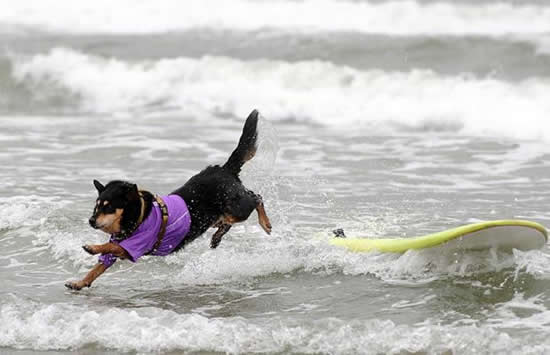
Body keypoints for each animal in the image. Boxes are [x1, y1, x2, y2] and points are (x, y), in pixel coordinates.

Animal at [66, 110, 272, 290]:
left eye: (108, 208)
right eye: (96, 207)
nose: (91, 221)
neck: (138, 215)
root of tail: (225, 169)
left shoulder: (133, 247)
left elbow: (110, 246)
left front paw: (92, 247)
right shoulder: (122, 247)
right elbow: (99, 265)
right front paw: (81, 282)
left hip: (237, 208)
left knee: (256, 198)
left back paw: (265, 223)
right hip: (214, 217)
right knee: (228, 221)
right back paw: (216, 238)